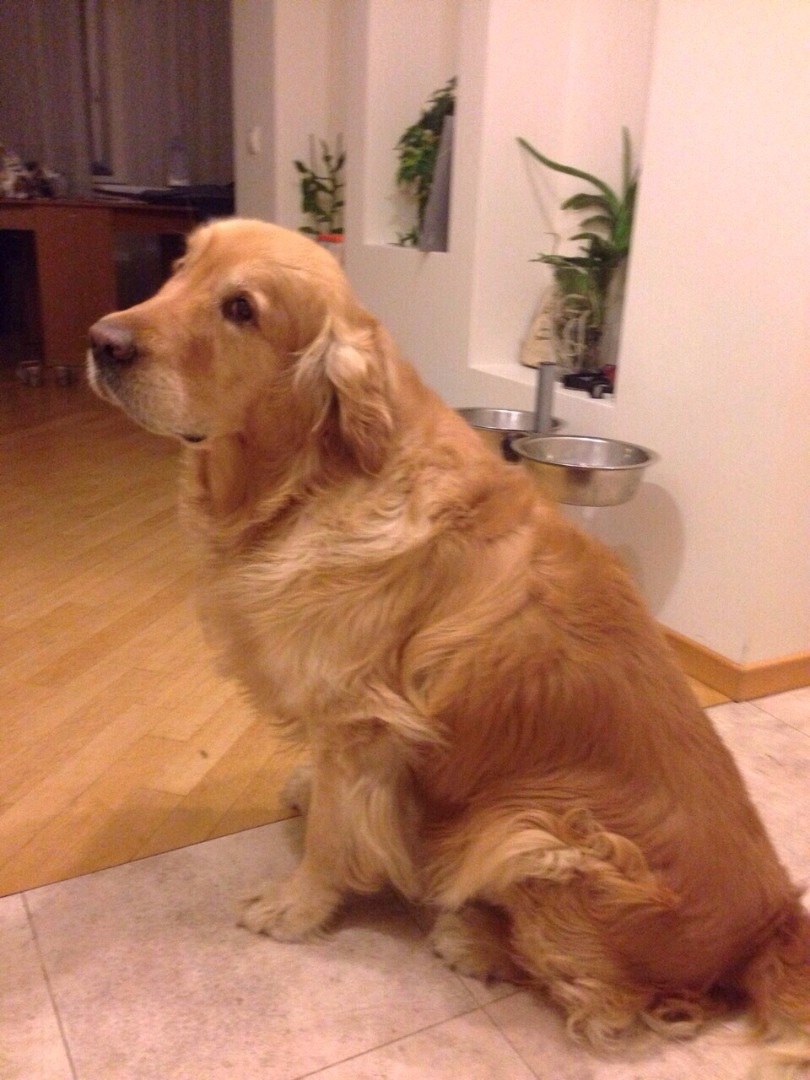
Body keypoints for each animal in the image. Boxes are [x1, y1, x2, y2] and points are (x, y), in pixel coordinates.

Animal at [88, 218, 810, 1077]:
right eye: (179, 268)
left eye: (241, 309)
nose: (101, 342)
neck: (313, 478)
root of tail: (770, 924)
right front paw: (305, 794)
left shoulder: (362, 725)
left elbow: (333, 835)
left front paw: (296, 907)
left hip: (533, 827)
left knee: (605, 999)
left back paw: (473, 938)